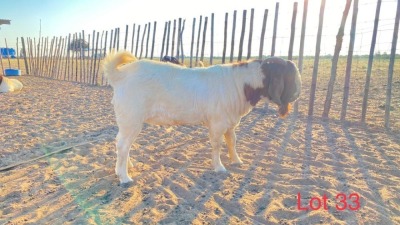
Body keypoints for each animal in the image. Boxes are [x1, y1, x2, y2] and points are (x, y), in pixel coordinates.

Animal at [103, 51, 300, 185]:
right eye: (289, 76)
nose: (297, 94)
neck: (240, 83)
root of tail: (119, 75)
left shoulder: (230, 121)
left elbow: (232, 140)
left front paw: (236, 161)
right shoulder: (217, 122)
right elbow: (217, 144)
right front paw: (219, 167)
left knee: (123, 143)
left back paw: (128, 166)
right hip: (131, 117)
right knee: (123, 144)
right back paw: (124, 177)